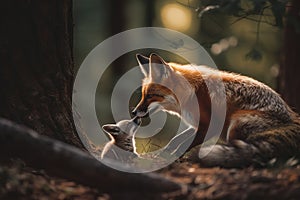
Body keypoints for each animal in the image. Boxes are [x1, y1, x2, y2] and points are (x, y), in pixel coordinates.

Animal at [132, 52, 300, 167]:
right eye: (143, 95)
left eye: (150, 96)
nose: (133, 112)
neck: (190, 93)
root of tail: (293, 118)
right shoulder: (197, 125)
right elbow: (176, 140)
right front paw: (164, 153)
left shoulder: (210, 126)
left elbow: (184, 145)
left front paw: (173, 158)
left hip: (235, 124)